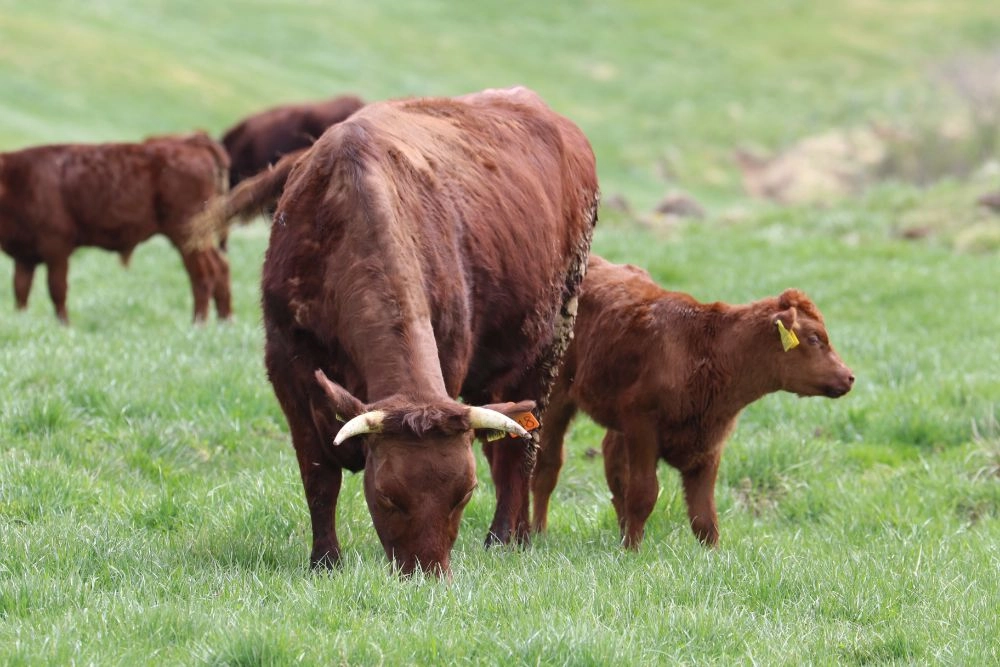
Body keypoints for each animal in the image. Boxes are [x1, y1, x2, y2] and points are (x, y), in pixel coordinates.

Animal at [0, 130, 230, 324]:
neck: (16, 180)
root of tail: (190, 140)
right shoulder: (24, 256)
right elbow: (20, 290)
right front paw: (21, 321)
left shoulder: (56, 248)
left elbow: (57, 289)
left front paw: (63, 325)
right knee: (221, 267)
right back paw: (224, 322)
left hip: (189, 236)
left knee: (204, 273)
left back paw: (198, 323)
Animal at [532, 254, 852, 548]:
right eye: (814, 338)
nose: (849, 377)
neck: (704, 350)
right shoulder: (641, 424)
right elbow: (644, 493)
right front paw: (632, 551)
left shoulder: (709, 442)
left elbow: (704, 514)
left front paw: (712, 555)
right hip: (555, 399)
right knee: (548, 467)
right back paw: (537, 534)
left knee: (612, 464)